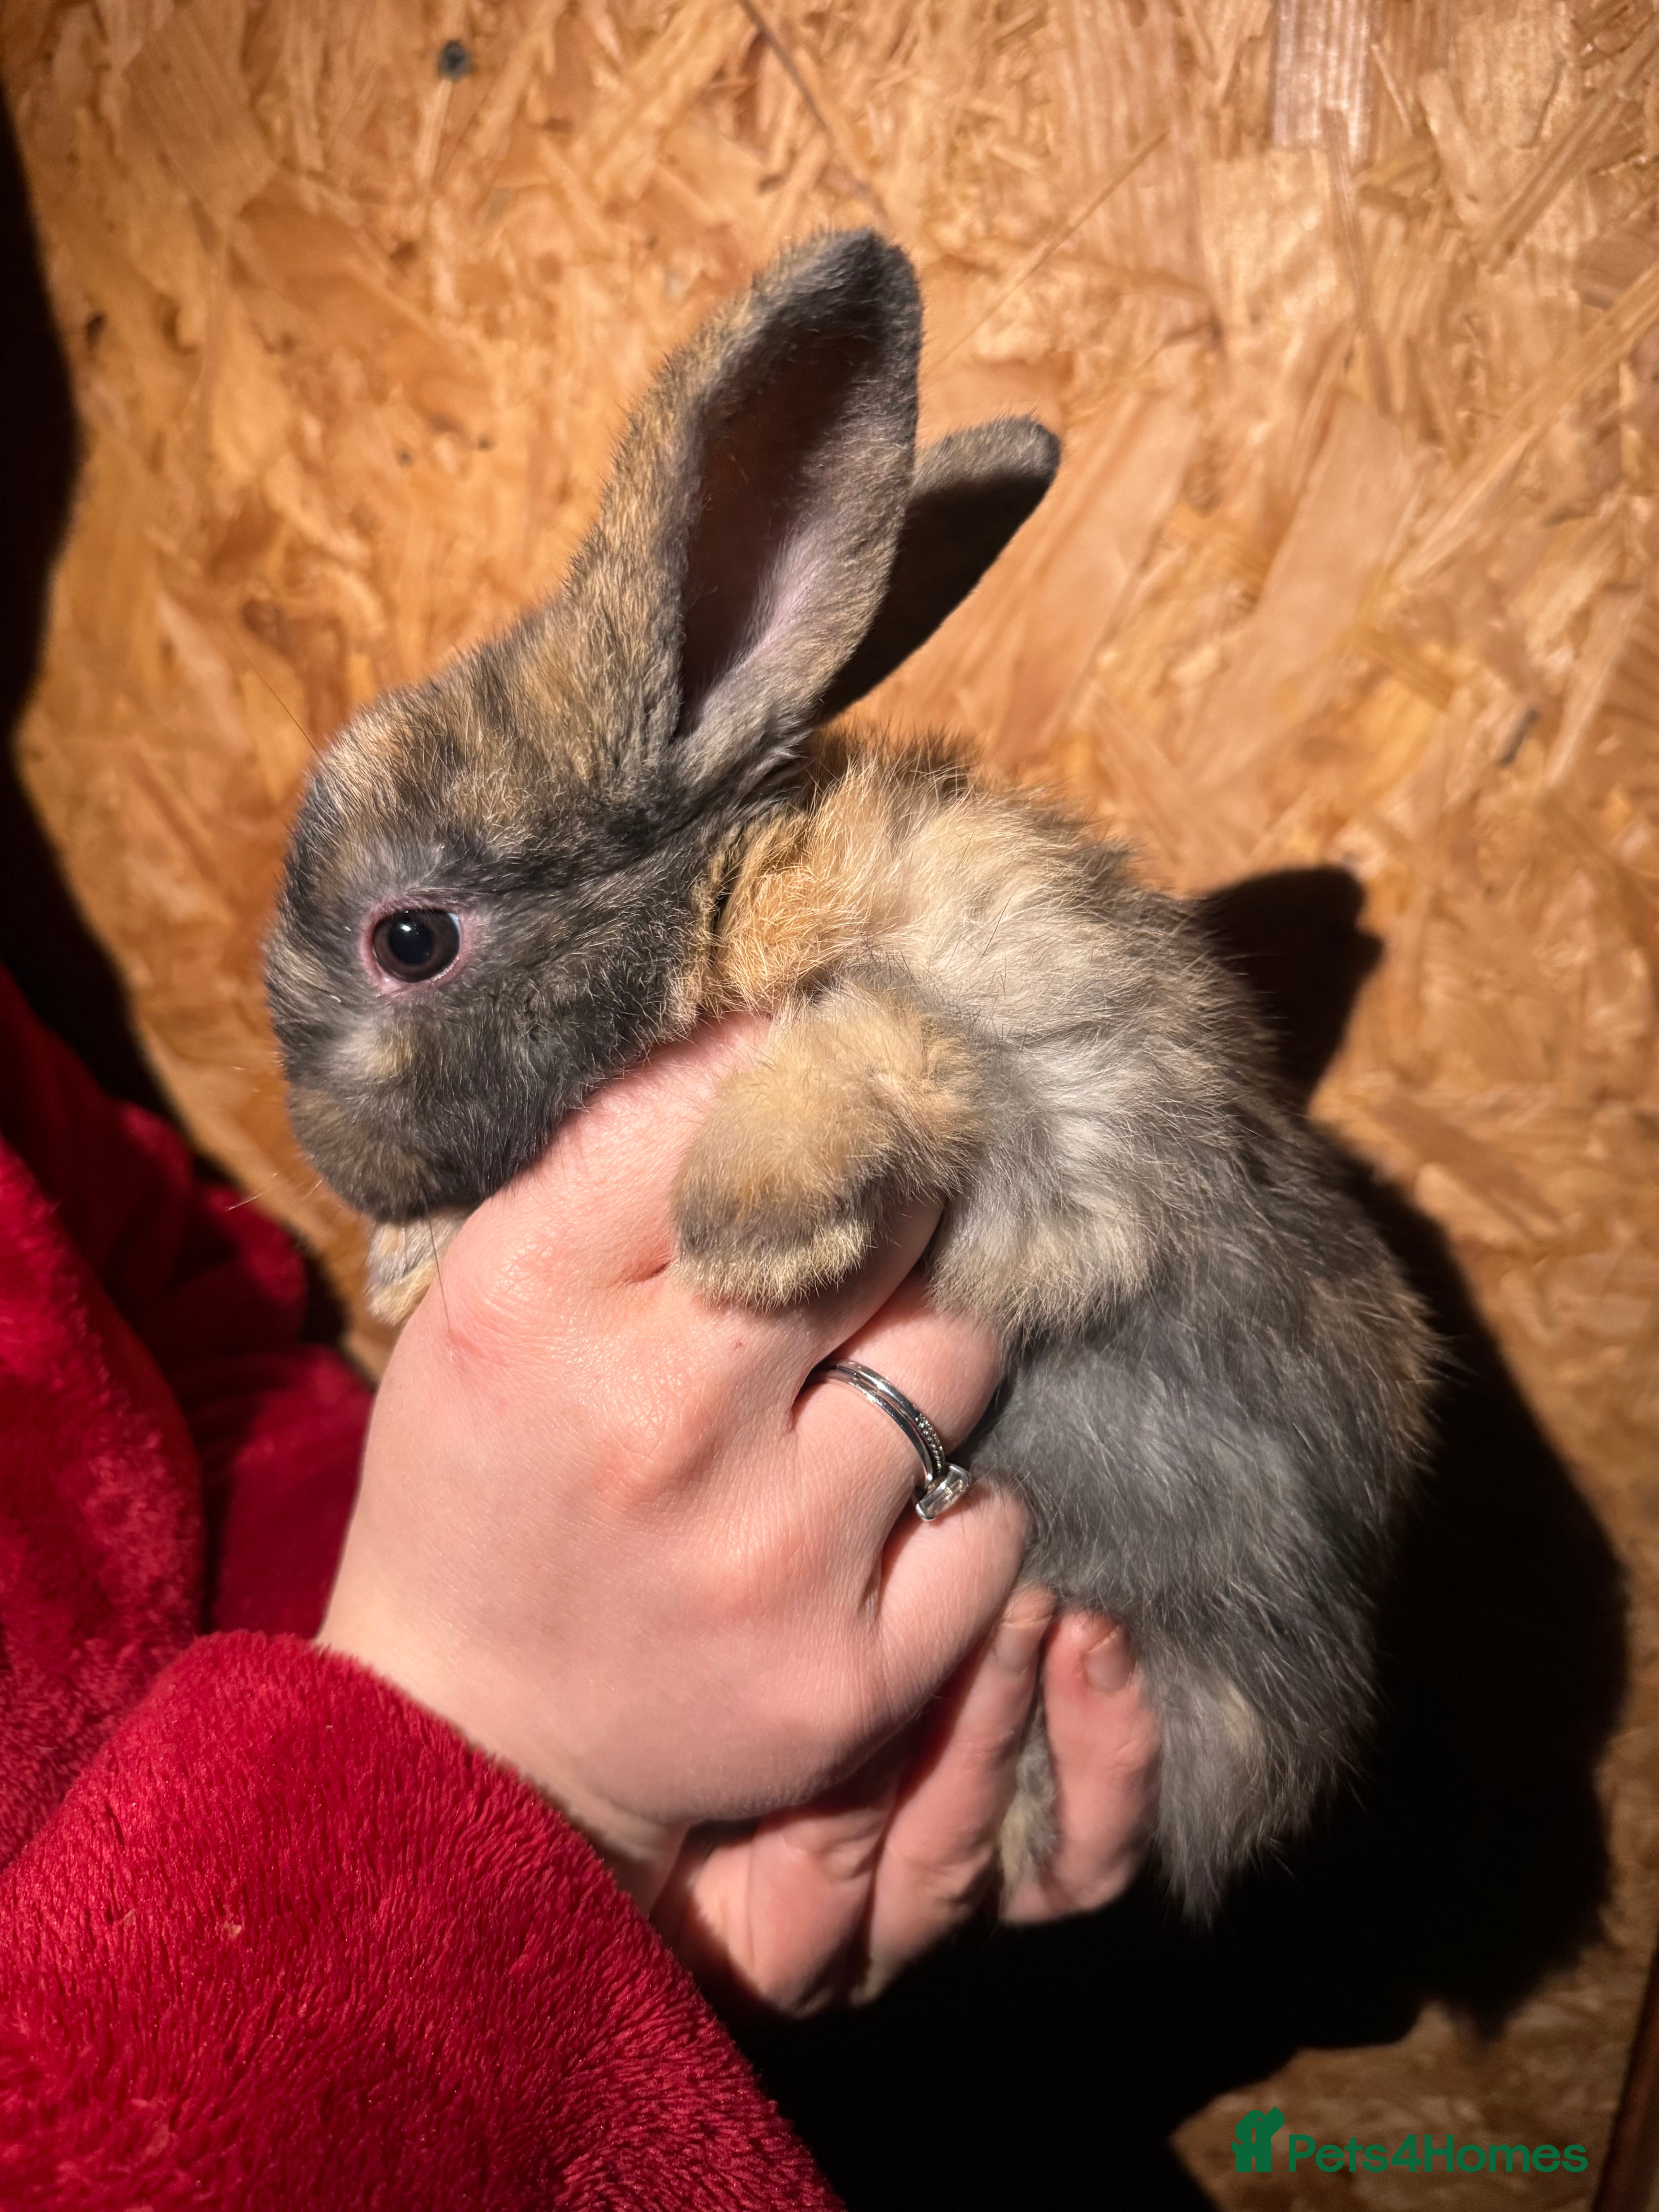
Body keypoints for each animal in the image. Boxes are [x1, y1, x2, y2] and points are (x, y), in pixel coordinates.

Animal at [266, 228, 1431, 1917]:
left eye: (409, 939)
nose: (328, 1158)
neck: (706, 903)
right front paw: (410, 1265)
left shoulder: (1041, 1083)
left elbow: (874, 1048)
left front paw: (743, 1225)